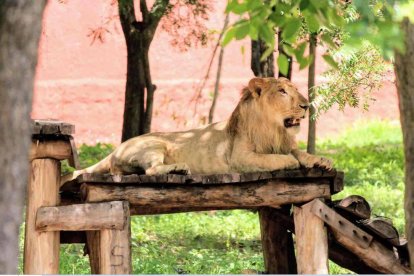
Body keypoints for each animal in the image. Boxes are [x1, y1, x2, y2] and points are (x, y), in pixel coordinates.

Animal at [62, 76, 334, 182]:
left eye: (294, 89)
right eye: (282, 91)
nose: (306, 105)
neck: (273, 128)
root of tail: (115, 150)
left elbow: (300, 152)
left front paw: (321, 160)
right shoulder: (240, 158)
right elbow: (277, 158)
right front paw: (290, 162)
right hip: (153, 145)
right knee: (151, 170)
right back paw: (178, 168)